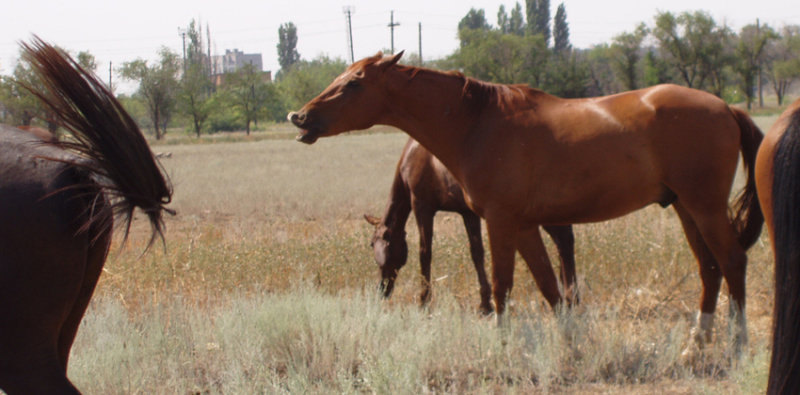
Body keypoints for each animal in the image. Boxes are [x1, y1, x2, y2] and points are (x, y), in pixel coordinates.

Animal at [362, 138, 576, 314]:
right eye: (372, 245)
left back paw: (570, 298)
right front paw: (485, 304)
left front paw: (424, 301)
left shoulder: (422, 207)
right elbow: (477, 253)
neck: (412, 156)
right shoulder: (467, 213)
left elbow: (425, 253)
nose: (382, 289)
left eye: (381, 245)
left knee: (563, 240)